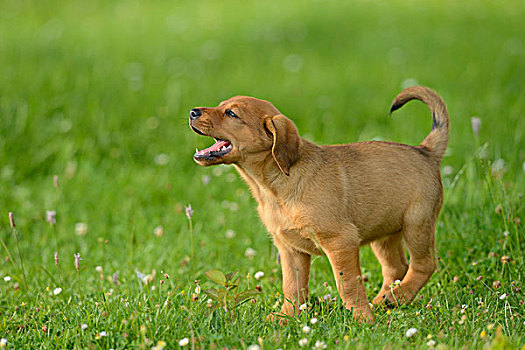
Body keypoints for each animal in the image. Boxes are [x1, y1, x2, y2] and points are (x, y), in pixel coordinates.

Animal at [190, 85, 448, 322]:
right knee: (396, 267)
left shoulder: (340, 241)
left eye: (231, 113)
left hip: (417, 223)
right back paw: (385, 301)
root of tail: (425, 151)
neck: (272, 188)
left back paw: (396, 297)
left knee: (424, 264)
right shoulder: (290, 249)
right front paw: (286, 318)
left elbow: (348, 285)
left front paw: (361, 319)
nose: (192, 112)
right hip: (384, 232)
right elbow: (292, 288)